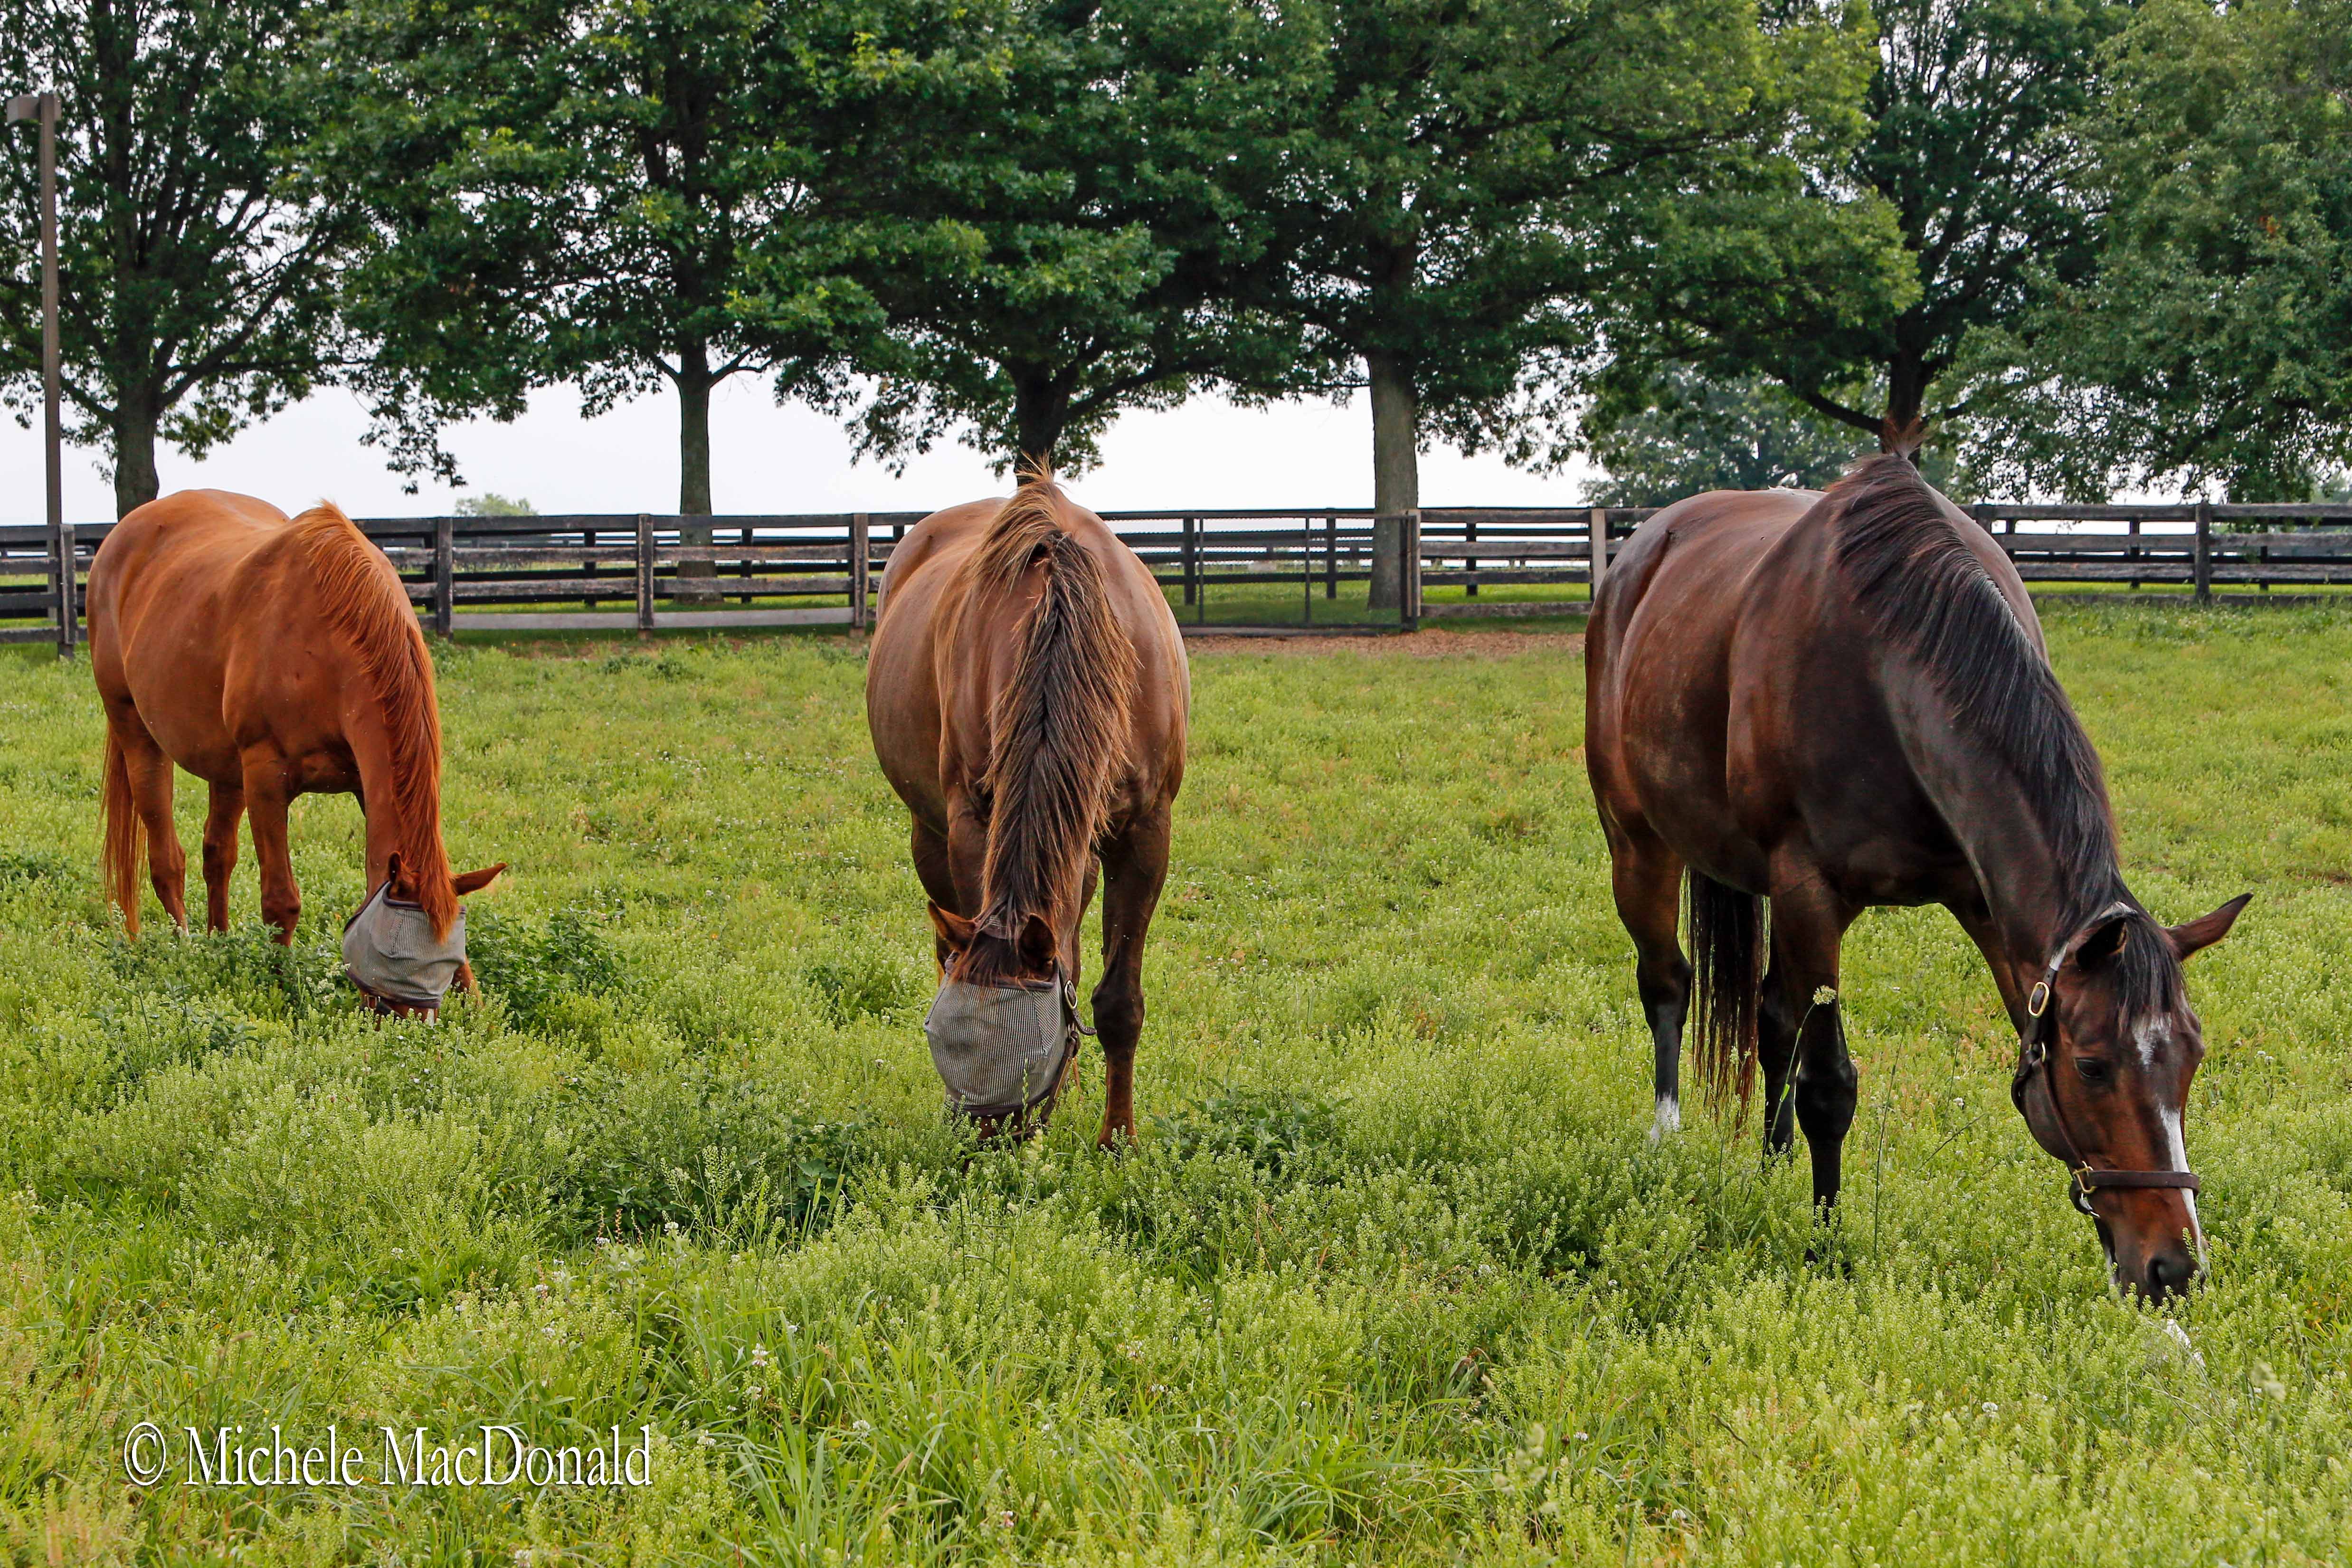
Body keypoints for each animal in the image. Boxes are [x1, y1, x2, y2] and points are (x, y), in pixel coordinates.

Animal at [87, 491, 505, 1020]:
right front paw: (282, 986)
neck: (328, 637)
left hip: (225, 767)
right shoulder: (266, 779)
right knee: (167, 860)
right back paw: (186, 948)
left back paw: (219, 944)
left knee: (216, 855)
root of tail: (121, 538)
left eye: (446, 954)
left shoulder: (367, 785)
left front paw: (479, 1007)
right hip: (138, 734)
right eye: (392, 952)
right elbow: (280, 900)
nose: (412, 1025)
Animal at [865, 465, 1185, 1142]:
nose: (980, 1145)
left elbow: (1118, 1000)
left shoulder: (1146, 830)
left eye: (1029, 1057)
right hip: (929, 831)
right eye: (940, 1039)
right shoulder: (972, 823)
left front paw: (1117, 1140)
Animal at [1590, 461, 2248, 1307]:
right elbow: (1830, 1087)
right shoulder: (1808, 893)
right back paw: (1669, 1136)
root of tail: (1635, 557)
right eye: (2094, 1066)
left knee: (1772, 1019)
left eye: (2191, 1060)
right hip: (1638, 842)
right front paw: (1824, 1248)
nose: (2174, 1268)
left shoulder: (1988, 902)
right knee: (1669, 985)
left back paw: (1771, 1164)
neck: (1882, 665)